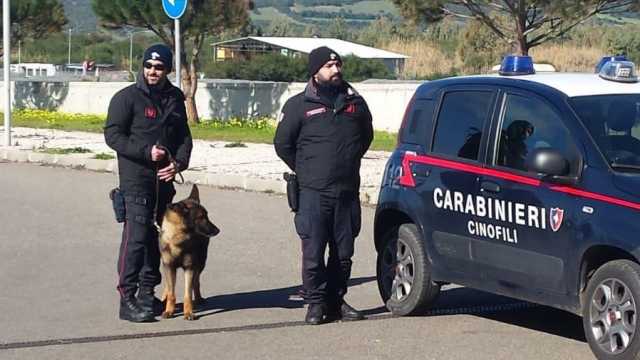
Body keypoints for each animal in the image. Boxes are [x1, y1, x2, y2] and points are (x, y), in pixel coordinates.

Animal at [159, 184, 220, 320]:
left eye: (207, 216)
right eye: (201, 217)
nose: (218, 230)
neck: (178, 237)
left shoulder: (189, 267)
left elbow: (188, 293)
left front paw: (188, 313)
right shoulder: (169, 266)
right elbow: (171, 292)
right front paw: (169, 310)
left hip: (200, 263)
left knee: (196, 282)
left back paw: (198, 298)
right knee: (168, 285)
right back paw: (164, 296)